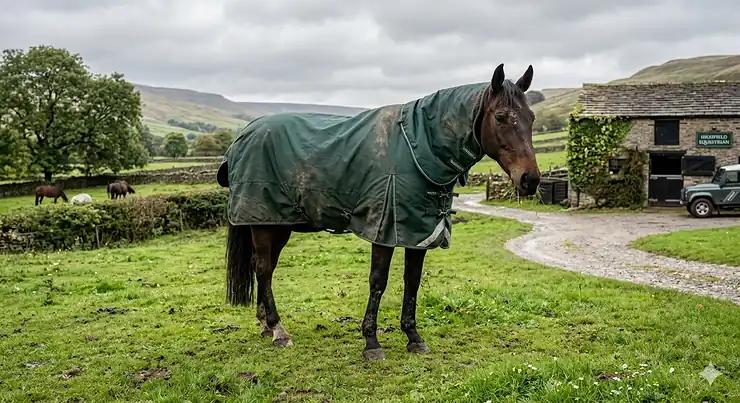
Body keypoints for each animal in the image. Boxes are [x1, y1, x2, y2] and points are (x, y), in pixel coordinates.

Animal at [218, 63, 540, 360]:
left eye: (531, 118)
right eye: (500, 117)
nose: (530, 179)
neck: (418, 146)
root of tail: (244, 135)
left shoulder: (419, 231)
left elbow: (412, 282)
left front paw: (413, 336)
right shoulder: (384, 228)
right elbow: (378, 281)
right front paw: (371, 342)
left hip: (278, 223)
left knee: (265, 268)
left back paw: (265, 325)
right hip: (264, 223)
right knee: (264, 268)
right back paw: (278, 330)